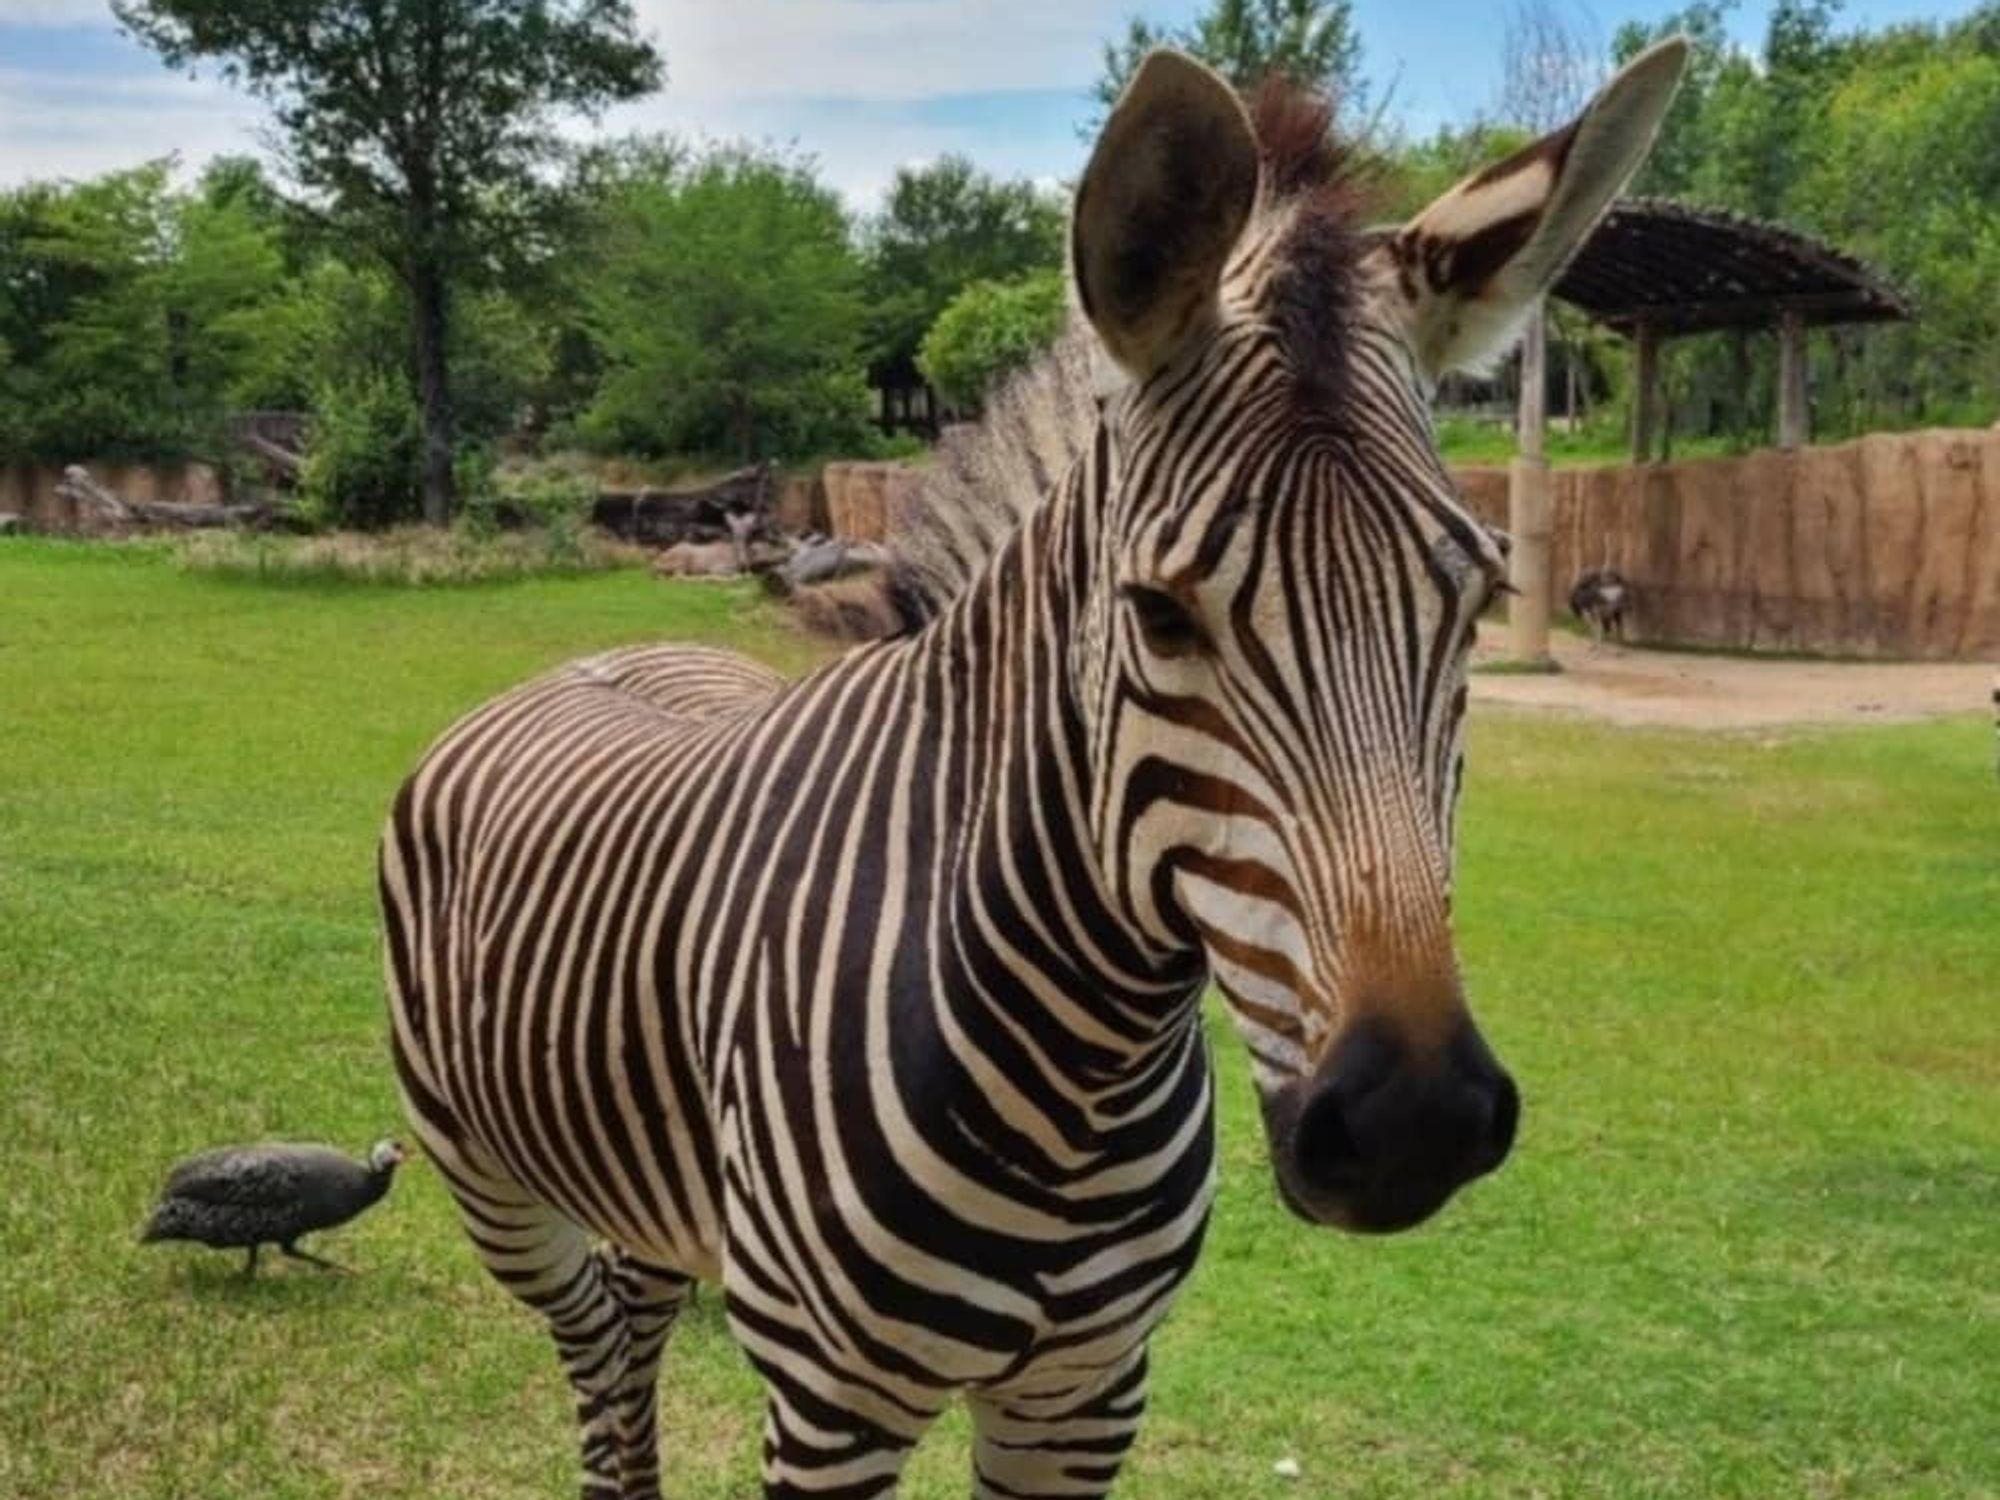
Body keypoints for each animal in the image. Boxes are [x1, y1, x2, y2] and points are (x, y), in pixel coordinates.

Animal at [379, 43, 1686, 1500]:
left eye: (1478, 605)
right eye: (1159, 615)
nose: (1416, 1124)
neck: (1081, 1073)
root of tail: (605, 650)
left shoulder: (1087, 1393)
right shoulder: (830, 1405)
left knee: (635, 1307)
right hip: (493, 1188)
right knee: (599, 1349)